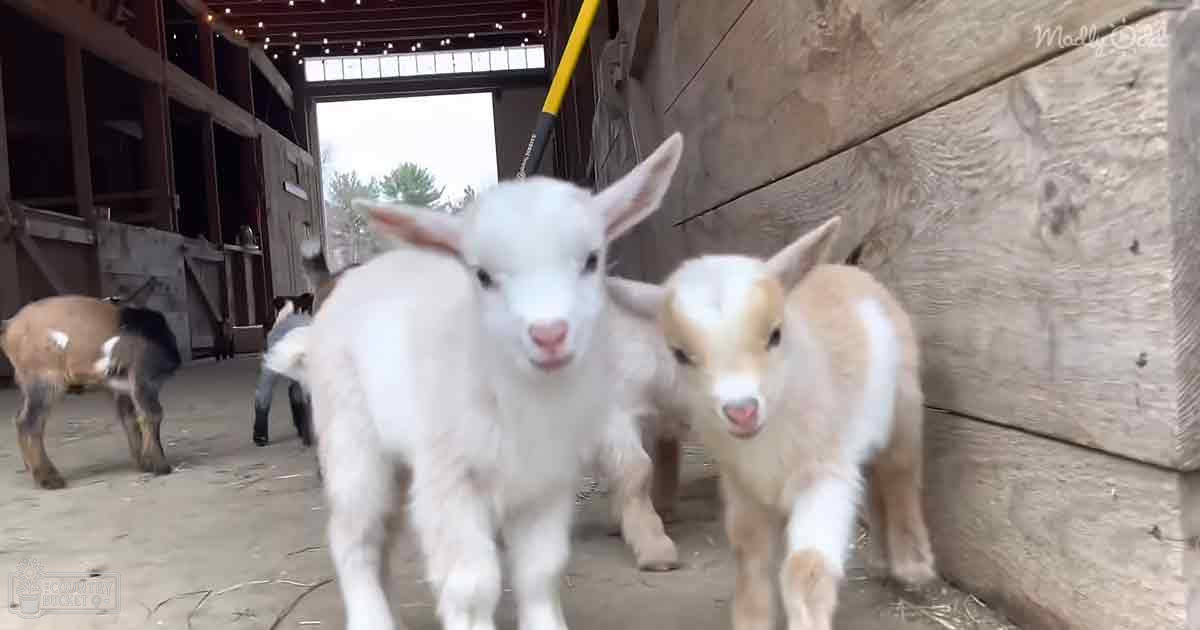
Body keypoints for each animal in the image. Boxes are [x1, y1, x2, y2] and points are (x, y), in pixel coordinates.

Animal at [1, 295, 181, 489]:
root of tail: (9, 326)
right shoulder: (144, 376)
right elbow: (152, 414)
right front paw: (160, 466)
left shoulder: (122, 387)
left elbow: (129, 418)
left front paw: (143, 463)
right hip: (45, 379)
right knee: (29, 422)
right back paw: (48, 478)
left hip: (29, 382)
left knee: (19, 418)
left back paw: (31, 468)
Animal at [264, 133, 683, 630]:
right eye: (482, 275)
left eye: (591, 260)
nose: (549, 334)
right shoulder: (451, 479)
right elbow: (472, 584)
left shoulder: (547, 483)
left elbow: (540, 571)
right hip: (352, 437)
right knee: (354, 535)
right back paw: (371, 617)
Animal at [607, 216, 936, 630]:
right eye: (680, 354)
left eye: (775, 335)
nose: (742, 411)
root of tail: (845, 270)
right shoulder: (741, 485)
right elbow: (749, 552)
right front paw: (752, 619)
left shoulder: (823, 475)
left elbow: (805, 567)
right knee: (876, 484)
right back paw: (879, 561)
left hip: (904, 407)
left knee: (901, 477)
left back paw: (913, 567)